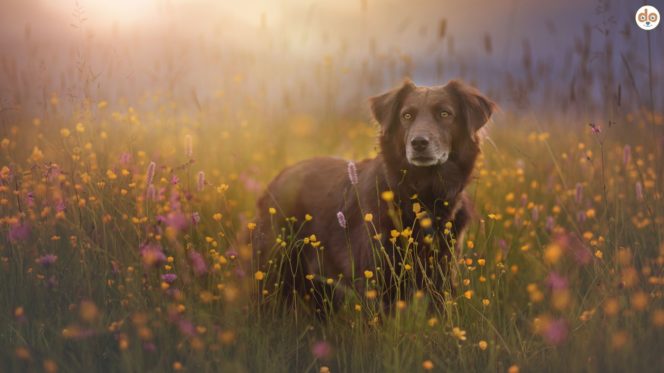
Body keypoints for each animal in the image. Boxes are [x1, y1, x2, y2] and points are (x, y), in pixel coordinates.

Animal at [252, 79, 496, 308]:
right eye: (407, 115)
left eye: (445, 114)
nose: (418, 143)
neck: (421, 196)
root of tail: (278, 177)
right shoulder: (378, 280)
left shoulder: (441, 277)